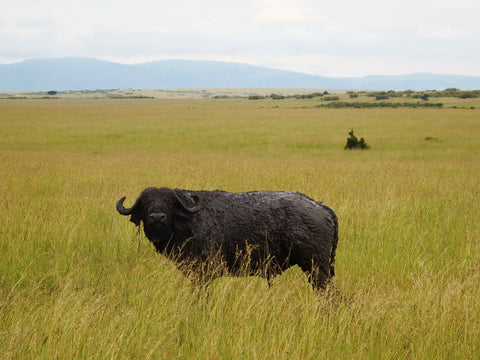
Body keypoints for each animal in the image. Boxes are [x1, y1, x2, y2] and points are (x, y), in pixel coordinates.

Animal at [116, 187, 338, 288]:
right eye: (146, 203)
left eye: (169, 203)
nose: (157, 217)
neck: (188, 221)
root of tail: (321, 207)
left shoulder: (202, 274)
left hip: (316, 269)